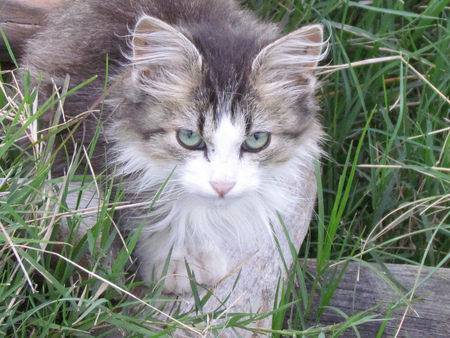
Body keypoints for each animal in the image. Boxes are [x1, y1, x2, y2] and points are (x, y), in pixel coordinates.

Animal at [21, 0, 326, 296]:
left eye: (256, 140)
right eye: (189, 137)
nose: (222, 186)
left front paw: (200, 249)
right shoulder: (82, 136)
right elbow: (150, 210)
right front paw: (173, 263)